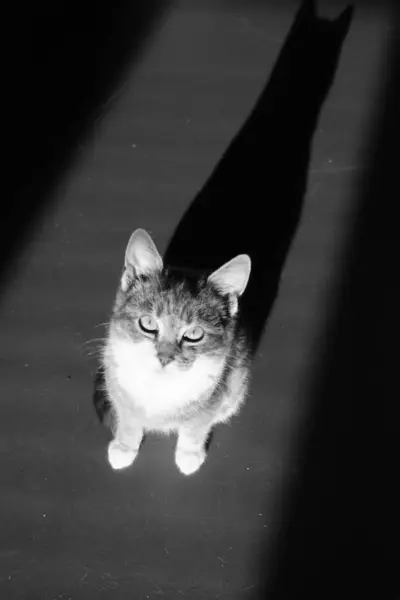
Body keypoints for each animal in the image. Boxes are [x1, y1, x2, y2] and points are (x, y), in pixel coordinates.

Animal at [101, 227, 252, 476]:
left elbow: (196, 427)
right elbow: (128, 417)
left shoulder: (216, 391)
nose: (164, 357)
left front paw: (189, 455)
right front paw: (124, 447)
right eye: (148, 323)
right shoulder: (116, 381)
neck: (159, 385)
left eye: (194, 334)